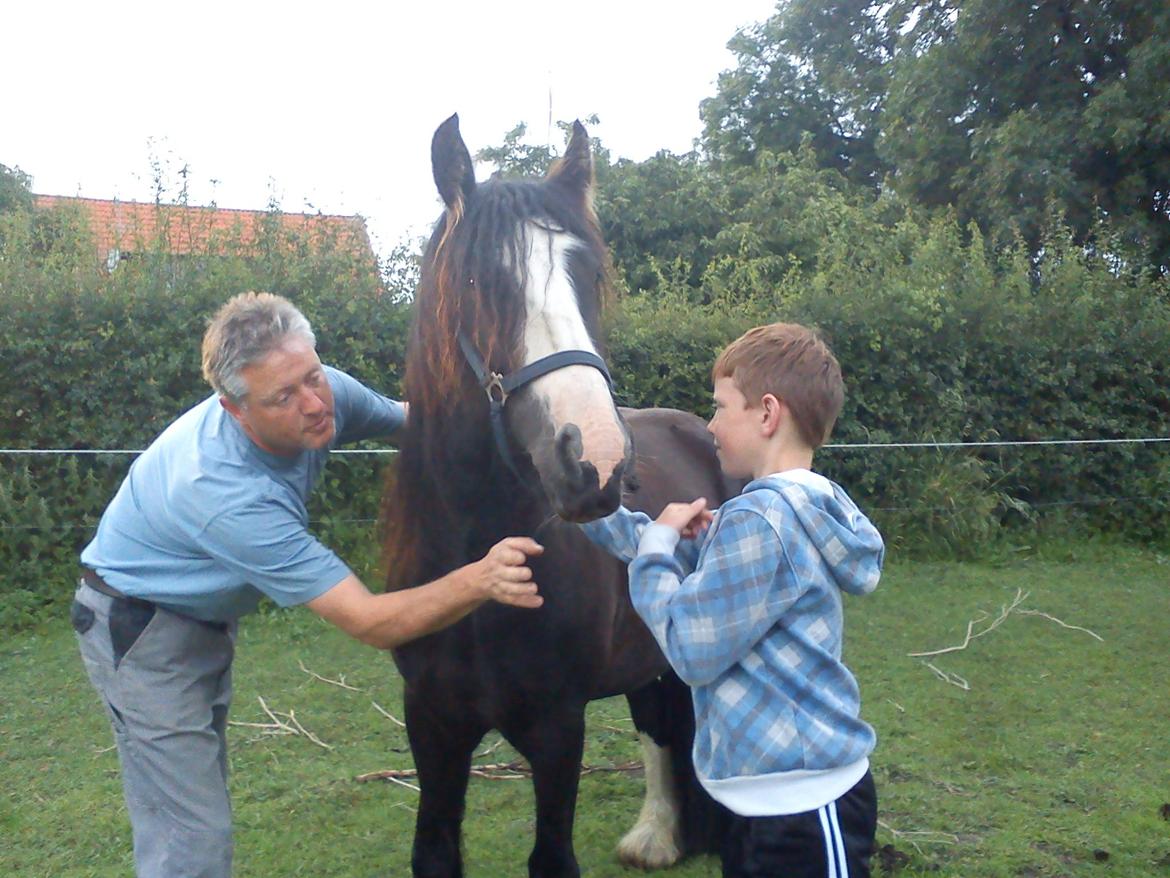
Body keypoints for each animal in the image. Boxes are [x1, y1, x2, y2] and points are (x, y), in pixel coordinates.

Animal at [381, 117, 730, 878]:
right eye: (480, 280)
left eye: (590, 277)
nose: (596, 462)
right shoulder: (432, 723)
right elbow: (434, 853)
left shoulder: (556, 727)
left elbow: (552, 858)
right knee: (656, 719)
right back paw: (656, 836)